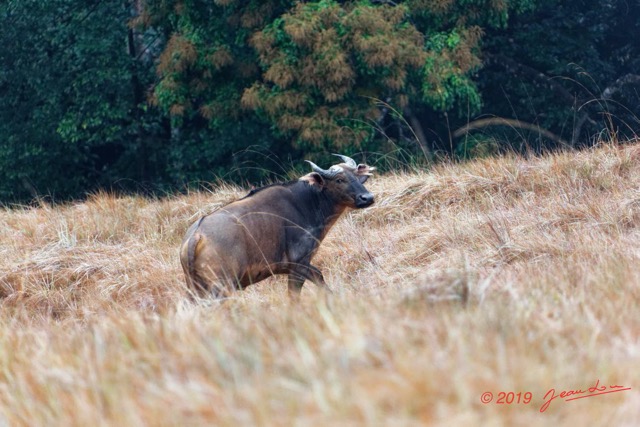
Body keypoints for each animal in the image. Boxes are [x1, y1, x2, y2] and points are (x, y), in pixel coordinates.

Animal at [178, 155, 376, 300]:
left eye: (356, 176)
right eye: (339, 179)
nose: (367, 198)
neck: (307, 202)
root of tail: (196, 236)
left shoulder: (301, 265)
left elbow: (319, 277)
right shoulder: (298, 263)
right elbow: (293, 296)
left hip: (195, 289)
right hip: (222, 287)